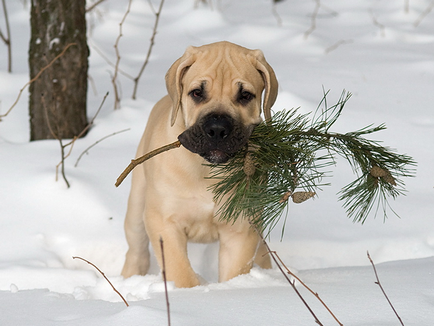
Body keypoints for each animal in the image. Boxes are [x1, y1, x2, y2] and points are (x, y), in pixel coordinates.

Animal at [121, 40, 278, 288]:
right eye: (197, 93)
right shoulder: (165, 221)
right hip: (137, 205)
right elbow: (180, 271)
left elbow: (234, 271)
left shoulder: (240, 228)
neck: (206, 170)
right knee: (136, 249)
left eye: (245, 95)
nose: (217, 129)